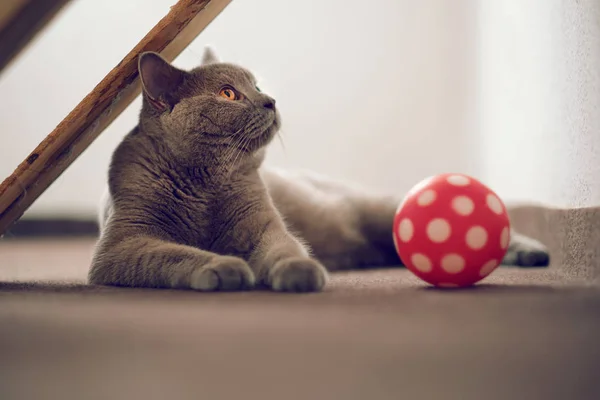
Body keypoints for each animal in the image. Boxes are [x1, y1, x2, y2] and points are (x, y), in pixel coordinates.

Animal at [89, 47, 548, 292]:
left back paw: (532, 253)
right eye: (229, 94)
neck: (206, 185)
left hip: (384, 211)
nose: (270, 100)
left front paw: (299, 272)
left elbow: (284, 247)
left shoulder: (264, 225)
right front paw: (223, 267)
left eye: (256, 84)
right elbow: (174, 254)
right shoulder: (123, 245)